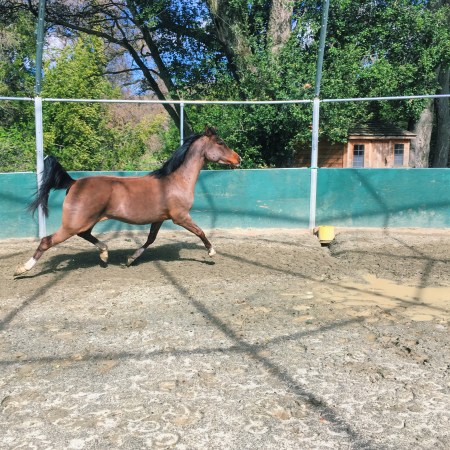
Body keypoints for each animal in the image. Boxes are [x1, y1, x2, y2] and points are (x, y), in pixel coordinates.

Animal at [14, 126, 241, 276]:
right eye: (220, 143)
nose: (238, 159)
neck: (177, 181)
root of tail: (75, 182)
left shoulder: (159, 218)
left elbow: (150, 239)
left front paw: (130, 259)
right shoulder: (180, 217)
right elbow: (200, 231)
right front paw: (211, 251)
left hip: (86, 221)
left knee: (85, 234)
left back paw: (105, 254)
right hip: (74, 223)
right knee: (47, 241)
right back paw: (22, 268)